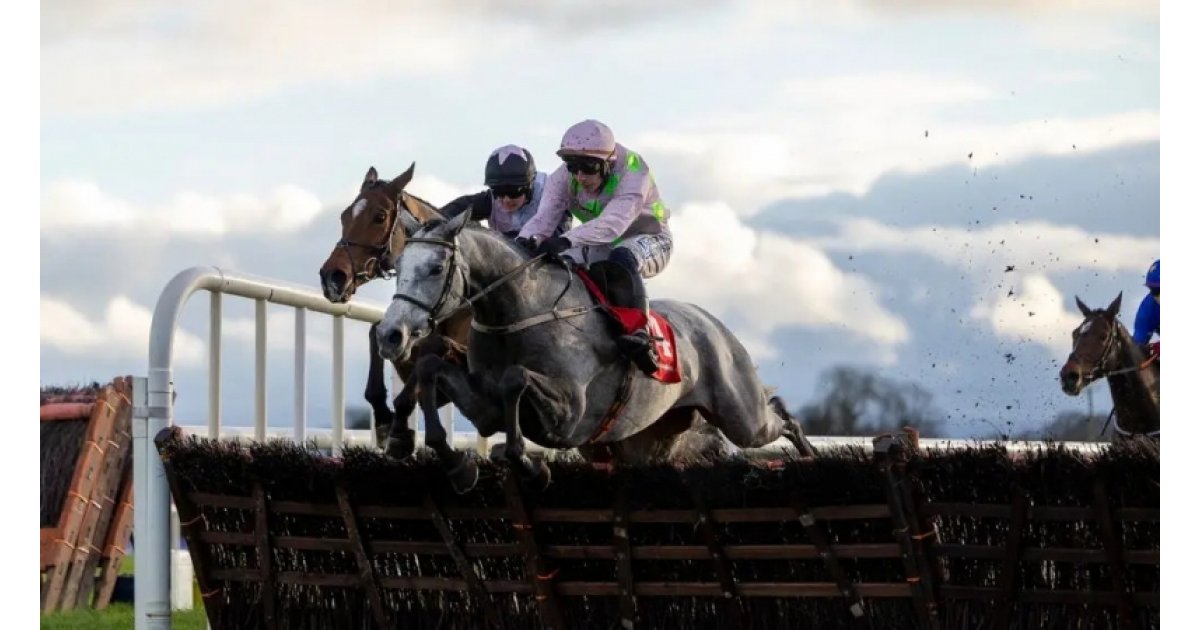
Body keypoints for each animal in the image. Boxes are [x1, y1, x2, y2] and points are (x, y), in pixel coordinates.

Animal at [372, 208, 816, 489]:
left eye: (435, 268)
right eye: (399, 265)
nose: (391, 333)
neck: (518, 313)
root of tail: (715, 326)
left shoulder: (570, 415)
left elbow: (515, 379)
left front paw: (524, 463)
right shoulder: (484, 409)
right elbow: (431, 366)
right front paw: (448, 461)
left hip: (742, 417)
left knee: (778, 415)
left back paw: (809, 454)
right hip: (653, 441)